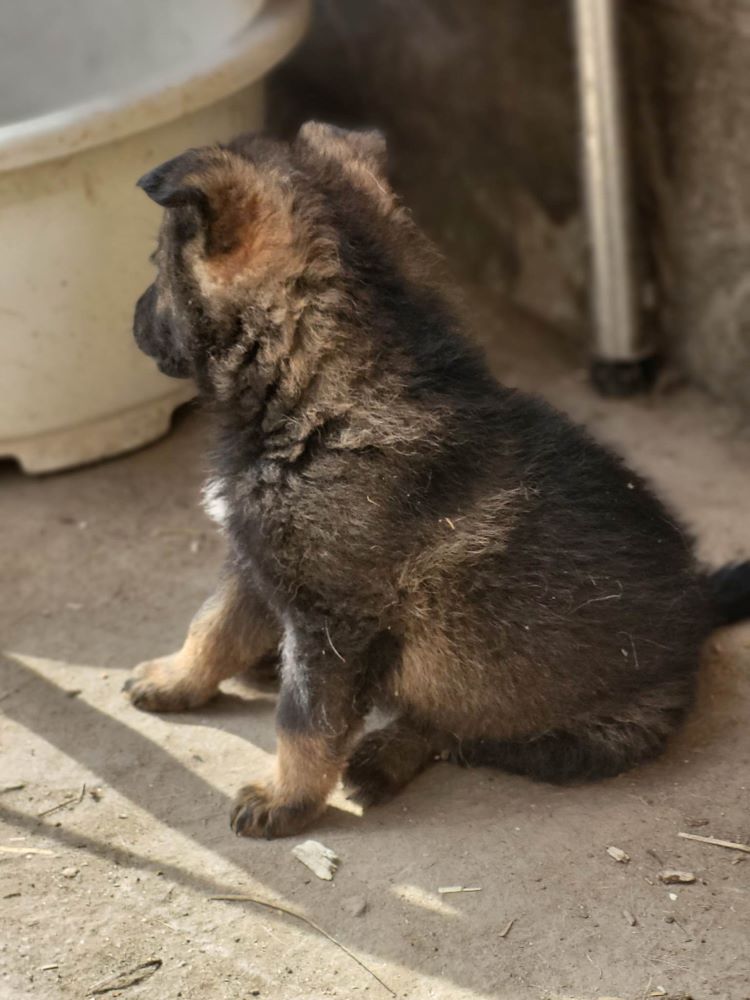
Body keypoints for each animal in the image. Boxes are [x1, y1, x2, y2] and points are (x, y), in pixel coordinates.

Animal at [125, 121, 750, 840]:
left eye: (156, 264)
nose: (132, 320)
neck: (321, 391)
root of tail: (700, 606)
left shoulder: (332, 620)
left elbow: (305, 719)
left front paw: (285, 798)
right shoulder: (258, 560)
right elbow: (213, 625)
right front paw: (175, 678)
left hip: (580, 733)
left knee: (459, 729)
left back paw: (385, 753)